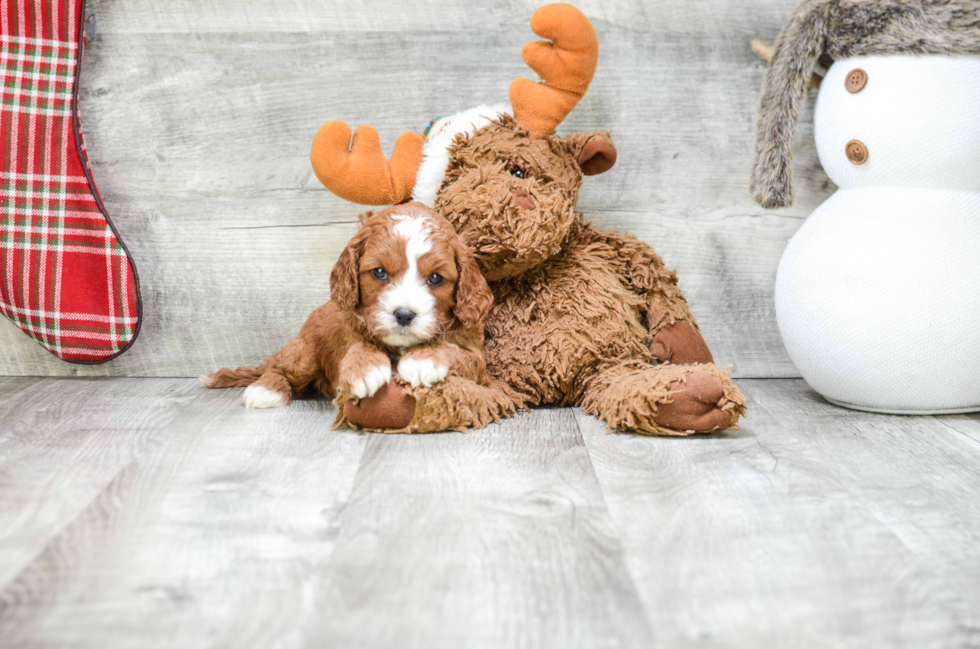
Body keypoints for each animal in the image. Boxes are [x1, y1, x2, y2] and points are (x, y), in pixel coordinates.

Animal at [203, 202, 494, 416]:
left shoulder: (477, 357)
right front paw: (363, 369)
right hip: (305, 352)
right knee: (281, 368)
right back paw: (266, 390)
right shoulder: (347, 332)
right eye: (379, 272)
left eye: (435, 278)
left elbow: (455, 351)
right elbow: (355, 346)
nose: (403, 315)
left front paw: (423, 359)